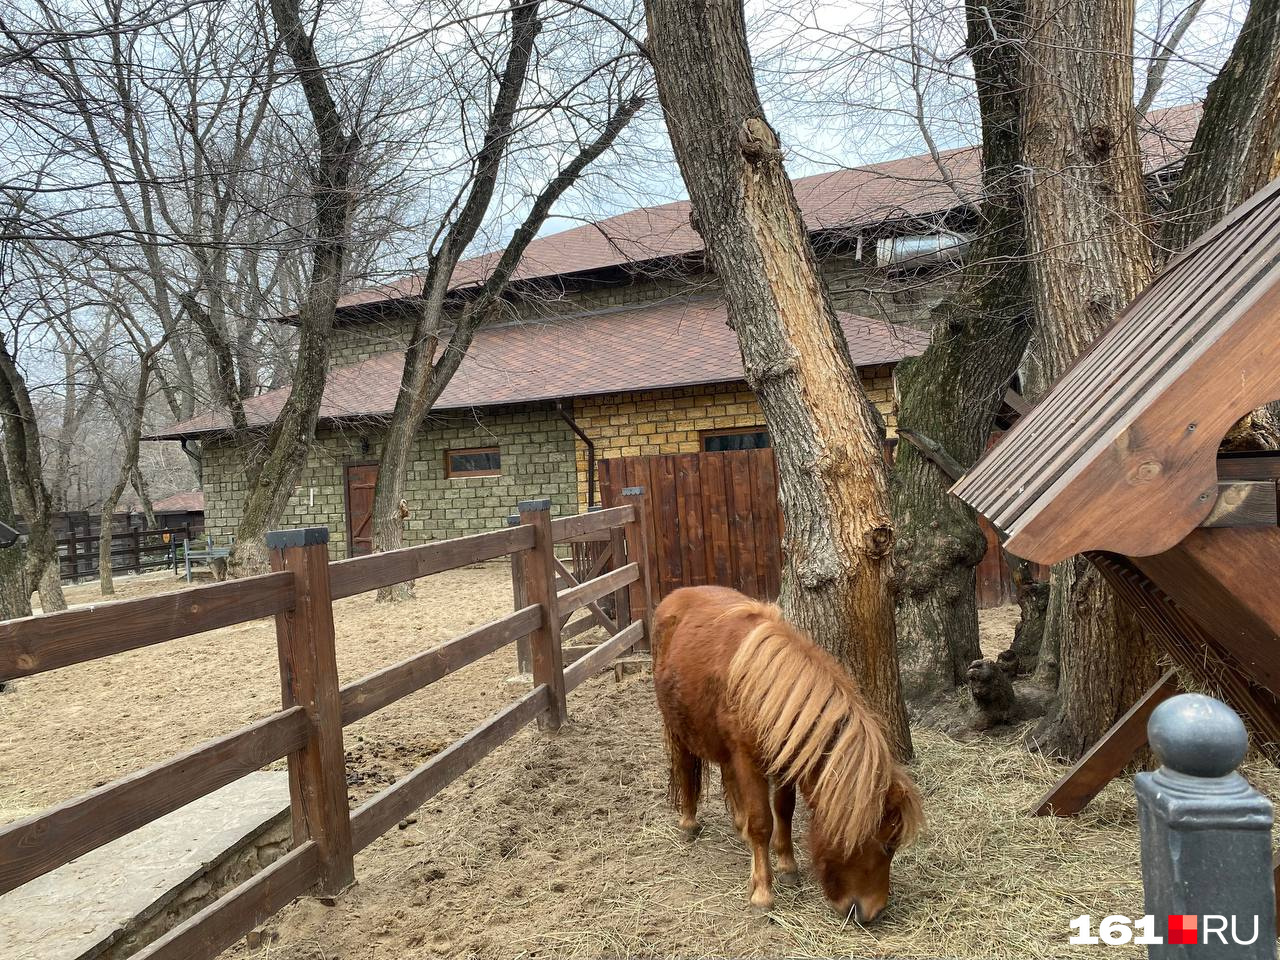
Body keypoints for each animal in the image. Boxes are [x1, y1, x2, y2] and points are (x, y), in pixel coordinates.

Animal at [660, 583, 921, 921]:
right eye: (888, 845)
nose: (874, 912)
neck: (765, 690)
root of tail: (679, 594)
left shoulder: (784, 760)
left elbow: (783, 809)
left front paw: (787, 866)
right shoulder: (748, 760)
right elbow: (762, 822)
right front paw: (762, 892)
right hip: (678, 728)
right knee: (685, 767)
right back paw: (689, 823)